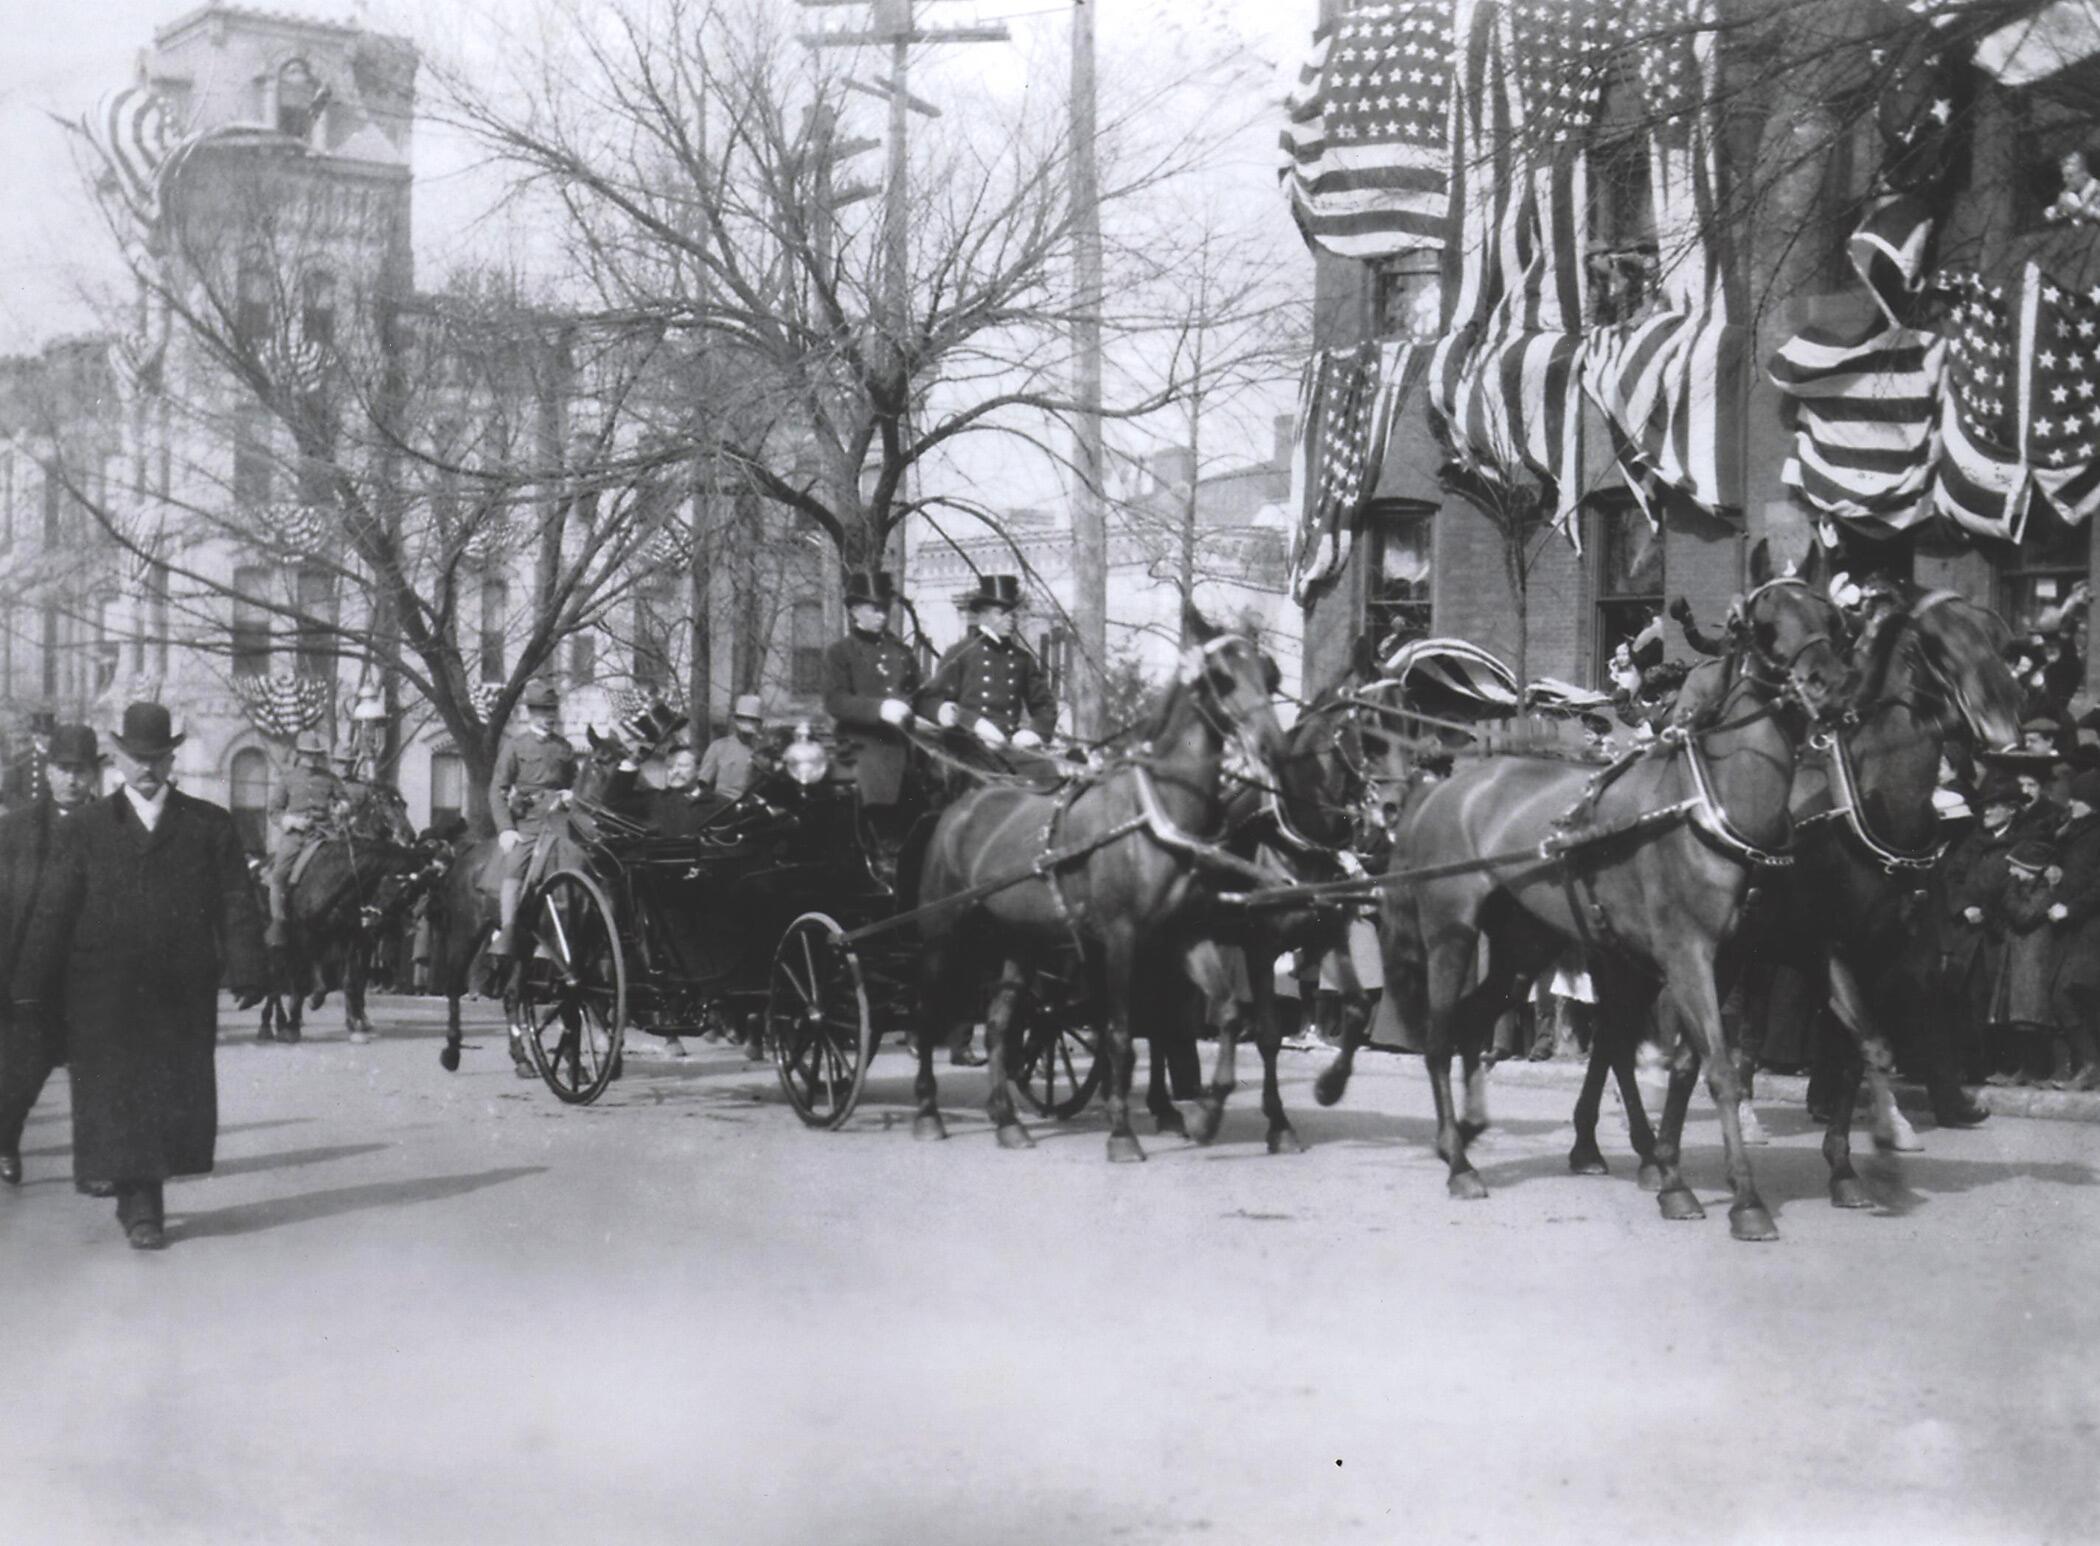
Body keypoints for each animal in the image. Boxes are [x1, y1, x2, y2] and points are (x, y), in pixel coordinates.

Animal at [911, 609, 1285, 1167]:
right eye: (1220, 676)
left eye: (1268, 674)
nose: (1270, 746)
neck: (1156, 815)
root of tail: (965, 802)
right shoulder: (1121, 940)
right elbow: (1120, 1035)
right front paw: (1122, 1133)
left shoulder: (1183, 935)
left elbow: (1227, 1013)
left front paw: (1208, 1113)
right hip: (942, 932)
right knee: (928, 1011)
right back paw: (927, 1112)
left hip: (1018, 943)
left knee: (999, 1025)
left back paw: (1007, 1122)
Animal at [1360, 546, 1856, 1243]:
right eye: (1762, 627)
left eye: (1832, 620)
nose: (1830, 687)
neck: (1711, 804)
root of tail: (1442, 791)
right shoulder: (1684, 953)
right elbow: (1719, 1070)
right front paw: (1743, 1200)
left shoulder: (1727, 959)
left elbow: (1688, 1064)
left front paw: (1672, 1175)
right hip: (1452, 933)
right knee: (1438, 1036)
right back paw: (1459, 1163)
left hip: (1523, 944)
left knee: (1474, 1024)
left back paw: (1470, 1132)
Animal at [1570, 592, 2024, 1209]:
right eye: (1932, 645)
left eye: (1999, 641)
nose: (2006, 732)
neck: (1865, 810)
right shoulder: (1825, 947)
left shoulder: (1888, 953)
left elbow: (1865, 1047)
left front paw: (1856, 1161)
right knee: (1621, 1037)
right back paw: (1622, 1145)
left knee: (1615, 1037)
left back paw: (1601, 1146)